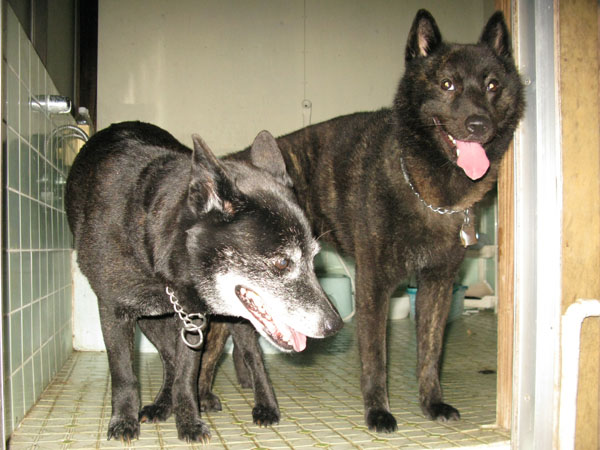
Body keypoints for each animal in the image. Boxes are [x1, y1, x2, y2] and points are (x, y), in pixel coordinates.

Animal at [65, 121, 343, 442]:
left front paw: (188, 421)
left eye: (314, 259)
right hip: (150, 322)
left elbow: (187, 376)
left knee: (252, 356)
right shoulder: (114, 311)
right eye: (283, 262)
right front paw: (124, 421)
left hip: (237, 321)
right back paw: (163, 404)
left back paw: (265, 406)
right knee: (169, 359)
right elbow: (125, 374)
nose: (336, 326)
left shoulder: (193, 318)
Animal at [201, 9, 524, 432]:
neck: (425, 188)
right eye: (447, 84)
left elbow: (431, 352)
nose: (478, 124)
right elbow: (375, 356)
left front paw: (432, 403)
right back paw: (203, 396)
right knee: (212, 346)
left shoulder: (437, 283)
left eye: (492, 85)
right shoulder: (374, 285)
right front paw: (378, 411)